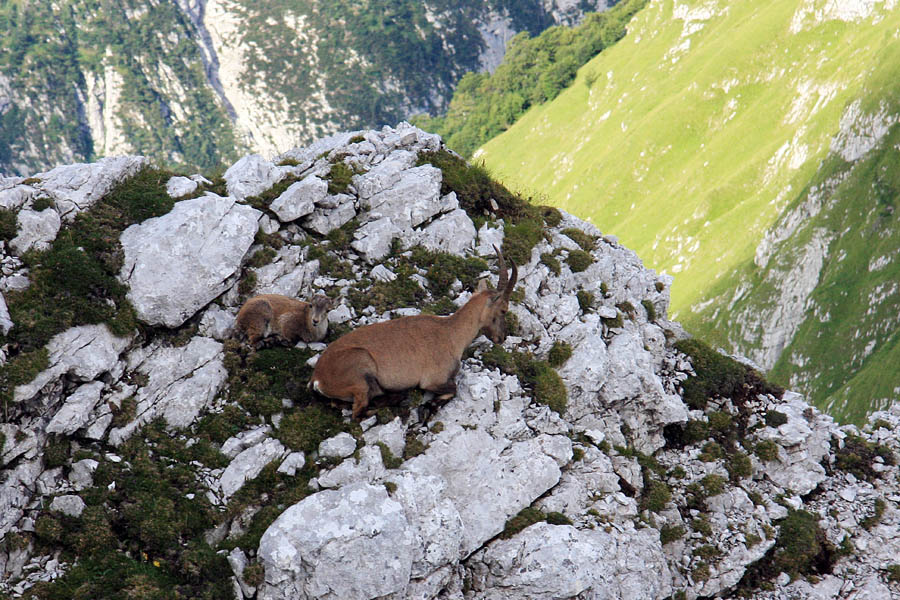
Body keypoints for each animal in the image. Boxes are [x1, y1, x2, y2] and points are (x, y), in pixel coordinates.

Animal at [310, 247, 518, 419]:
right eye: (504, 309)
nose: (502, 337)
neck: (451, 333)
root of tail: (317, 379)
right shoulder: (433, 380)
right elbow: (453, 389)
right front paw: (427, 408)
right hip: (361, 370)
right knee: (359, 412)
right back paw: (400, 400)